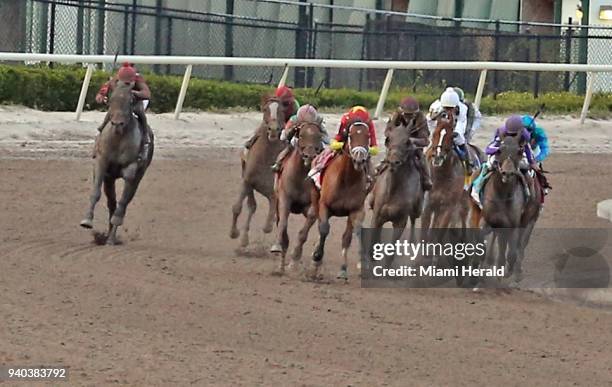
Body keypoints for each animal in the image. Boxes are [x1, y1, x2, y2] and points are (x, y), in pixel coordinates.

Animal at [79, 82, 153, 246]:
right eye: (111, 99)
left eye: (130, 101)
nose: (118, 123)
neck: (118, 139)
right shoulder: (102, 162)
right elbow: (96, 193)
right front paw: (87, 220)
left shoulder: (131, 168)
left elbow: (123, 202)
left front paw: (116, 223)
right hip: (110, 179)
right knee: (111, 203)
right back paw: (108, 237)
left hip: (138, 176)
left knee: (123, 202)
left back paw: (111, 239)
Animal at [230, 97, 286, 249]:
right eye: (265, 109)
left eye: (281, 110)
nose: (273, 130)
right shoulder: (247, 181)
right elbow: (238, 207)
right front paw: (234, 233)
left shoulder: (273, 192)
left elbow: (269, 222)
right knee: (252, 206)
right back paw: (244, 239)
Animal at [268, 123, 322, 274]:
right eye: (301, 135)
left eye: (318, 136)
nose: (310, 156)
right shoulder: (284, 199)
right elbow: (283, 224)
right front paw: (277, 248)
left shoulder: (312, 205)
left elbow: (303, 232)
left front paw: (295, 261)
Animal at [292, 119, 372, 280]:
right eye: (350, 135)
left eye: (367, 136)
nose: (359, 159)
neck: (347, 179)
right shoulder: (324, 205)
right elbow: (323, 228)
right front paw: (316, 258)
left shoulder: (357, 209)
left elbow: (356, 232)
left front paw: (362, 263)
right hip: (315, 198)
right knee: (316, 220)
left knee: (346, 236)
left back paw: (342, 269)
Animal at [420, 110, 482, 242]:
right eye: (434, 134)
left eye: (451, 136)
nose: (437, 157)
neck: (441, 177)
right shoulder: (428, 205)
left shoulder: (448, 207)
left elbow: (438, 234)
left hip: (464, 201)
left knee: (463, 216)